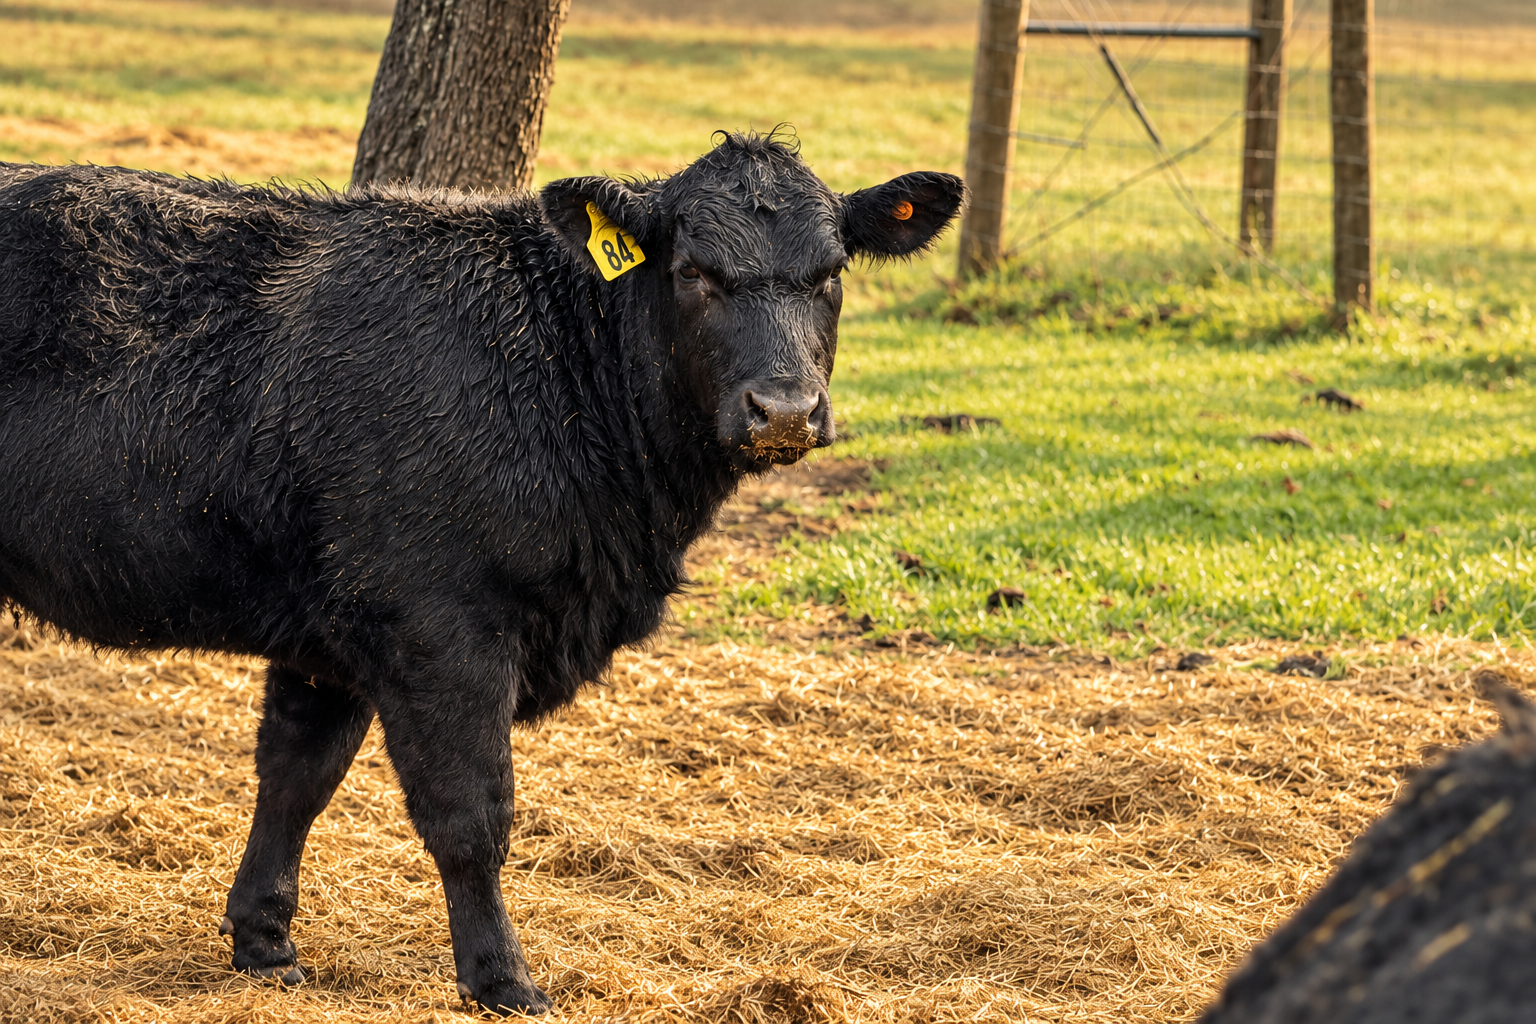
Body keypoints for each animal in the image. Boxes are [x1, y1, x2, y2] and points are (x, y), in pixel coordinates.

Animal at [0, 132, 964, 1015]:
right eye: (695, 271)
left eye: (832, 272)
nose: (785, 411)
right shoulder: (438, 628)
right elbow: (471, 816)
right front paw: (502, 978)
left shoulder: (327, 633)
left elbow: (296, 778)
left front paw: (265, 943)